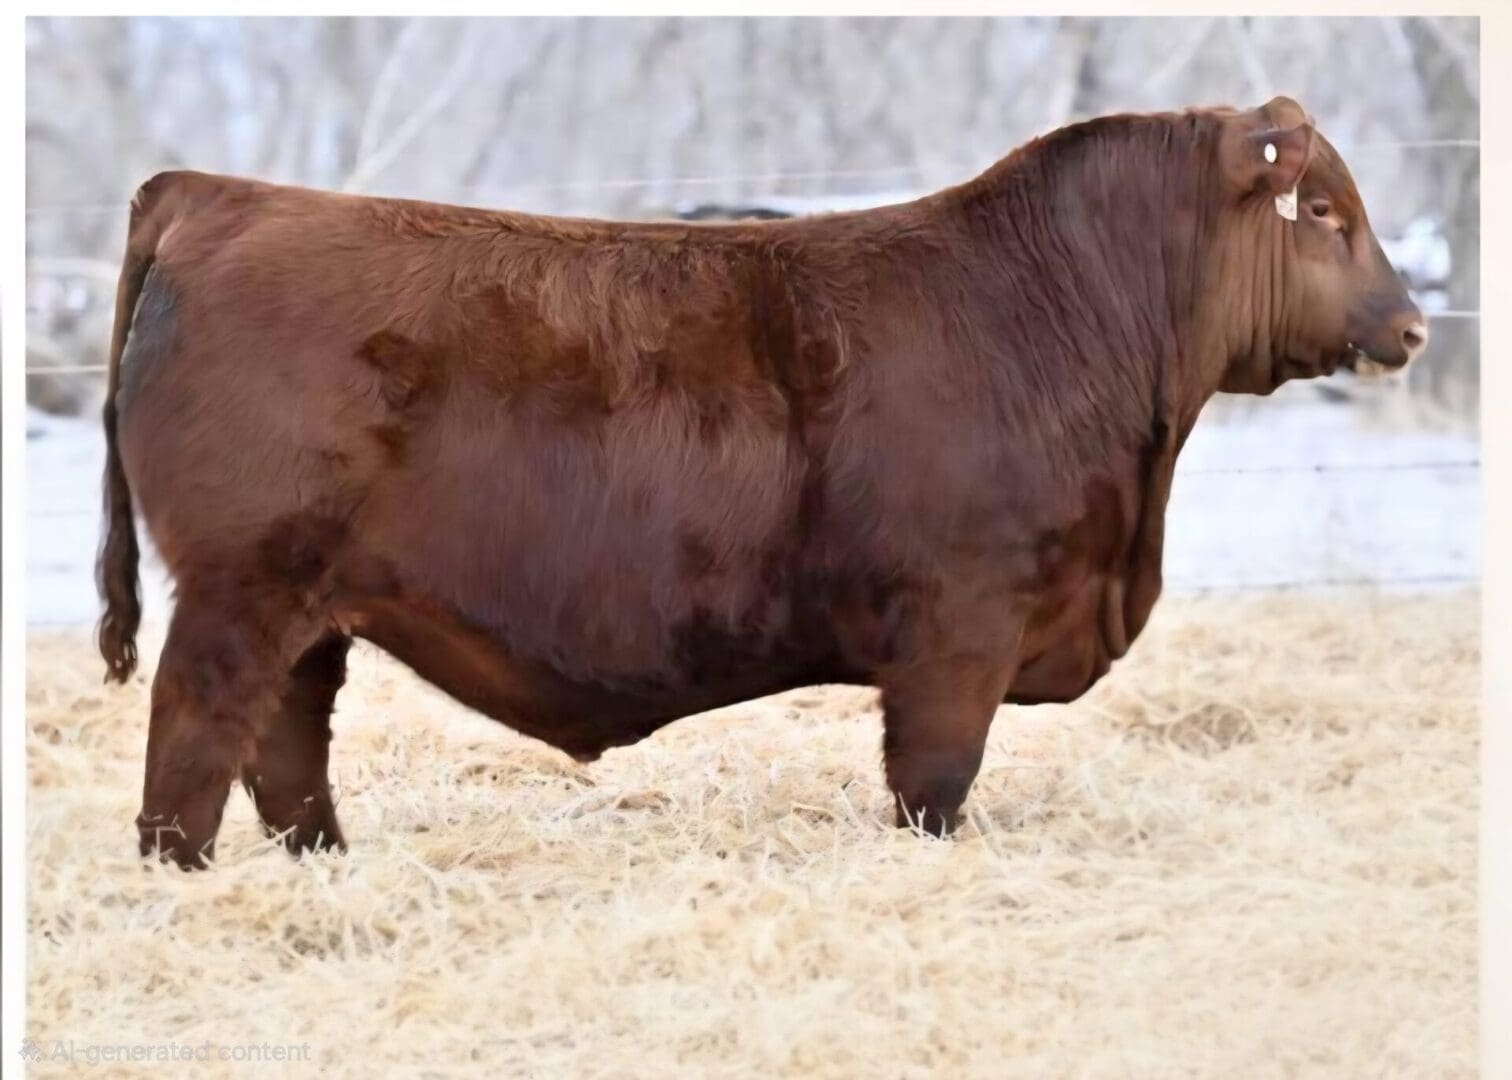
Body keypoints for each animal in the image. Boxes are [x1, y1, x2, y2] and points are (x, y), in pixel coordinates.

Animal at [97, 97, 1427, 868]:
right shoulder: (959, 624)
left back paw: (325, 862)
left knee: (288, 742)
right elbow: (934, 781)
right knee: (197, 731)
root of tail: (215, 193)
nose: (1412, 326)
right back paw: (181, 873)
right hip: (237, 589)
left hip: (305, 603)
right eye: (1323, 209)